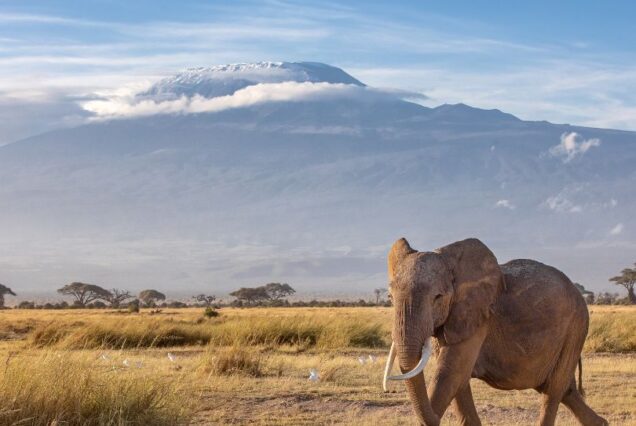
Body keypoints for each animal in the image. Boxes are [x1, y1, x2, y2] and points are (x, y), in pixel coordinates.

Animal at [382, 238, 608, 424]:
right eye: (390, 298)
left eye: (438, 297)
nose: (388, 388)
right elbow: (459, 381)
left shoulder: (479, 317)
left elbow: (450, 375)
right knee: (565, 390)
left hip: (576, 327)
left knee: (553, 390)